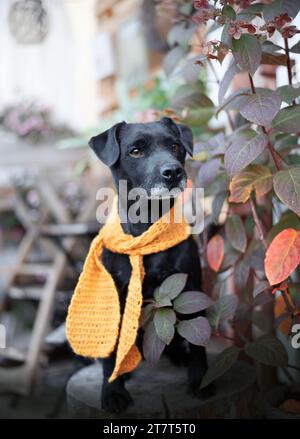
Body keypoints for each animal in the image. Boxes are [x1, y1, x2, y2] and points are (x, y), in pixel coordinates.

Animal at [89, 116, 213, 412]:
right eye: (135, 151)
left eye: (175, 146)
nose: (174, 171)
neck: (147, 225)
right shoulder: (116, 296)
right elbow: (111, 352)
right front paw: (112, 391)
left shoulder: (191, 287)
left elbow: (198, 343)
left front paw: (200, 381)